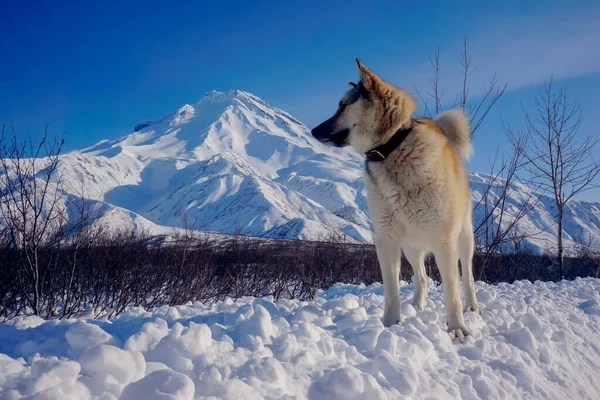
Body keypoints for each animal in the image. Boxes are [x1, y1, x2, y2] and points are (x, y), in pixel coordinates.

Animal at [312, 59, 480, 340]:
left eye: (342, 105)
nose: (313, 130)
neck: (392, 148)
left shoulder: (444, 241)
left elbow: (452, 291)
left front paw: (457, 328)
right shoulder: (387, 239)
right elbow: (391, 291)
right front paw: (389, 326)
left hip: (464, 238)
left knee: (467, 276)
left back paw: (472, 307)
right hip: (411, 246)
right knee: (421, 277)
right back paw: (417, 305)